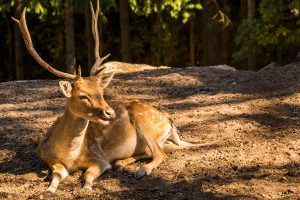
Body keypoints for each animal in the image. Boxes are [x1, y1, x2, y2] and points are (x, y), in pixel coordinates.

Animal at [12, 0, 206, 194]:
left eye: (101, 92)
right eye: (83, 96)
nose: (110, 113)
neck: (69, 156)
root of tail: (169, 122)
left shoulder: (99, 158)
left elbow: (89, 173)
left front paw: (86, 187)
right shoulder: (49, 159)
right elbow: (57, 174)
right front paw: (49, 190)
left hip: (144, 121)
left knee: (160, 154)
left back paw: (140, 171)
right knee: (154, 150)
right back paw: (120, 163)